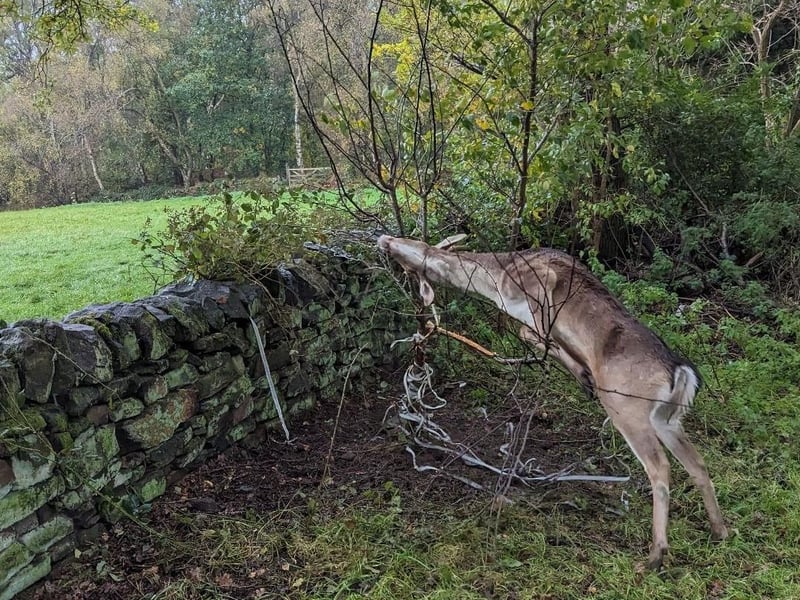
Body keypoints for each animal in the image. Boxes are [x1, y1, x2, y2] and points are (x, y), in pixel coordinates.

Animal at [377, 234, 728, 570]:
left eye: (410, 244)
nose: (383, 240)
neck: (497, 280)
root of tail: (680, 372)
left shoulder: (538, 282)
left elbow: (533, 333)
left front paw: (583, 373)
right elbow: (536, 336)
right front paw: (581, 373)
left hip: (626, 408)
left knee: (660, 467)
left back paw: (656, 555)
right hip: (666, 418)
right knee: (696, 463)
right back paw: (719, 530)